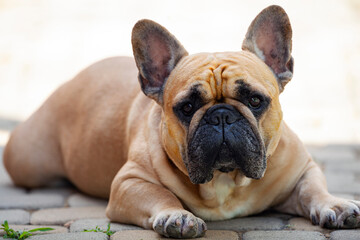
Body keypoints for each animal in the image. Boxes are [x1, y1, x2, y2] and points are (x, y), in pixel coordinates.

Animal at [3, 5, 360, 238]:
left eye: (255, 101)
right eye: (187, 107)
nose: (221, 115)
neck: (225, 181)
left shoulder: (303, 169)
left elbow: (314, 189)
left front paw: (337, 205)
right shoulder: (130, 182)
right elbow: (161, 196)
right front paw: (177, 216)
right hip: (26, 161)